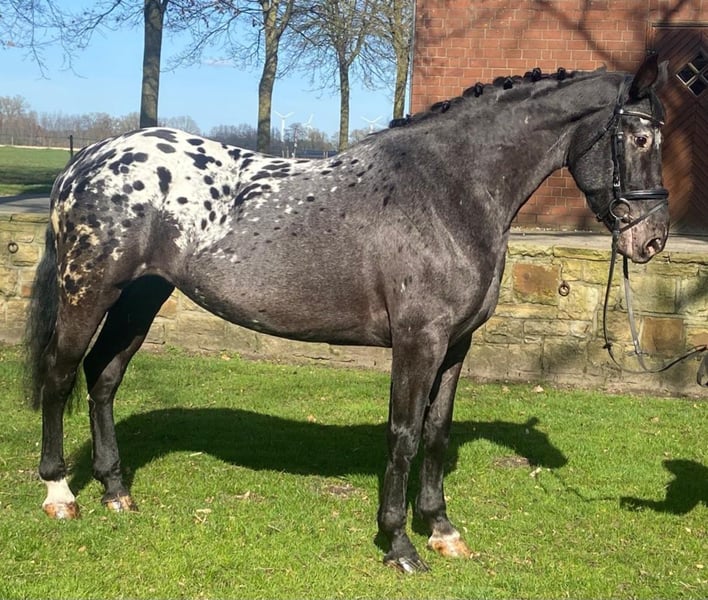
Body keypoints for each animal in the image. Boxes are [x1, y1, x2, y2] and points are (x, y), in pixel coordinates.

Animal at [25, 55, 670, 573]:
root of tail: (86, 161)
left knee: (103, 378)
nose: (652, 240)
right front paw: (399, 545)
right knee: (60, 376)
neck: (450, 189)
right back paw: (59, 493)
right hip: (89, 292)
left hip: (142, 298)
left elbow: (437, 433)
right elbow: (404, 436)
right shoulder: (418, 342)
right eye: (641, 140)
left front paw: (441, 530)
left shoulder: (455, 346)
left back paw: (115, 489)